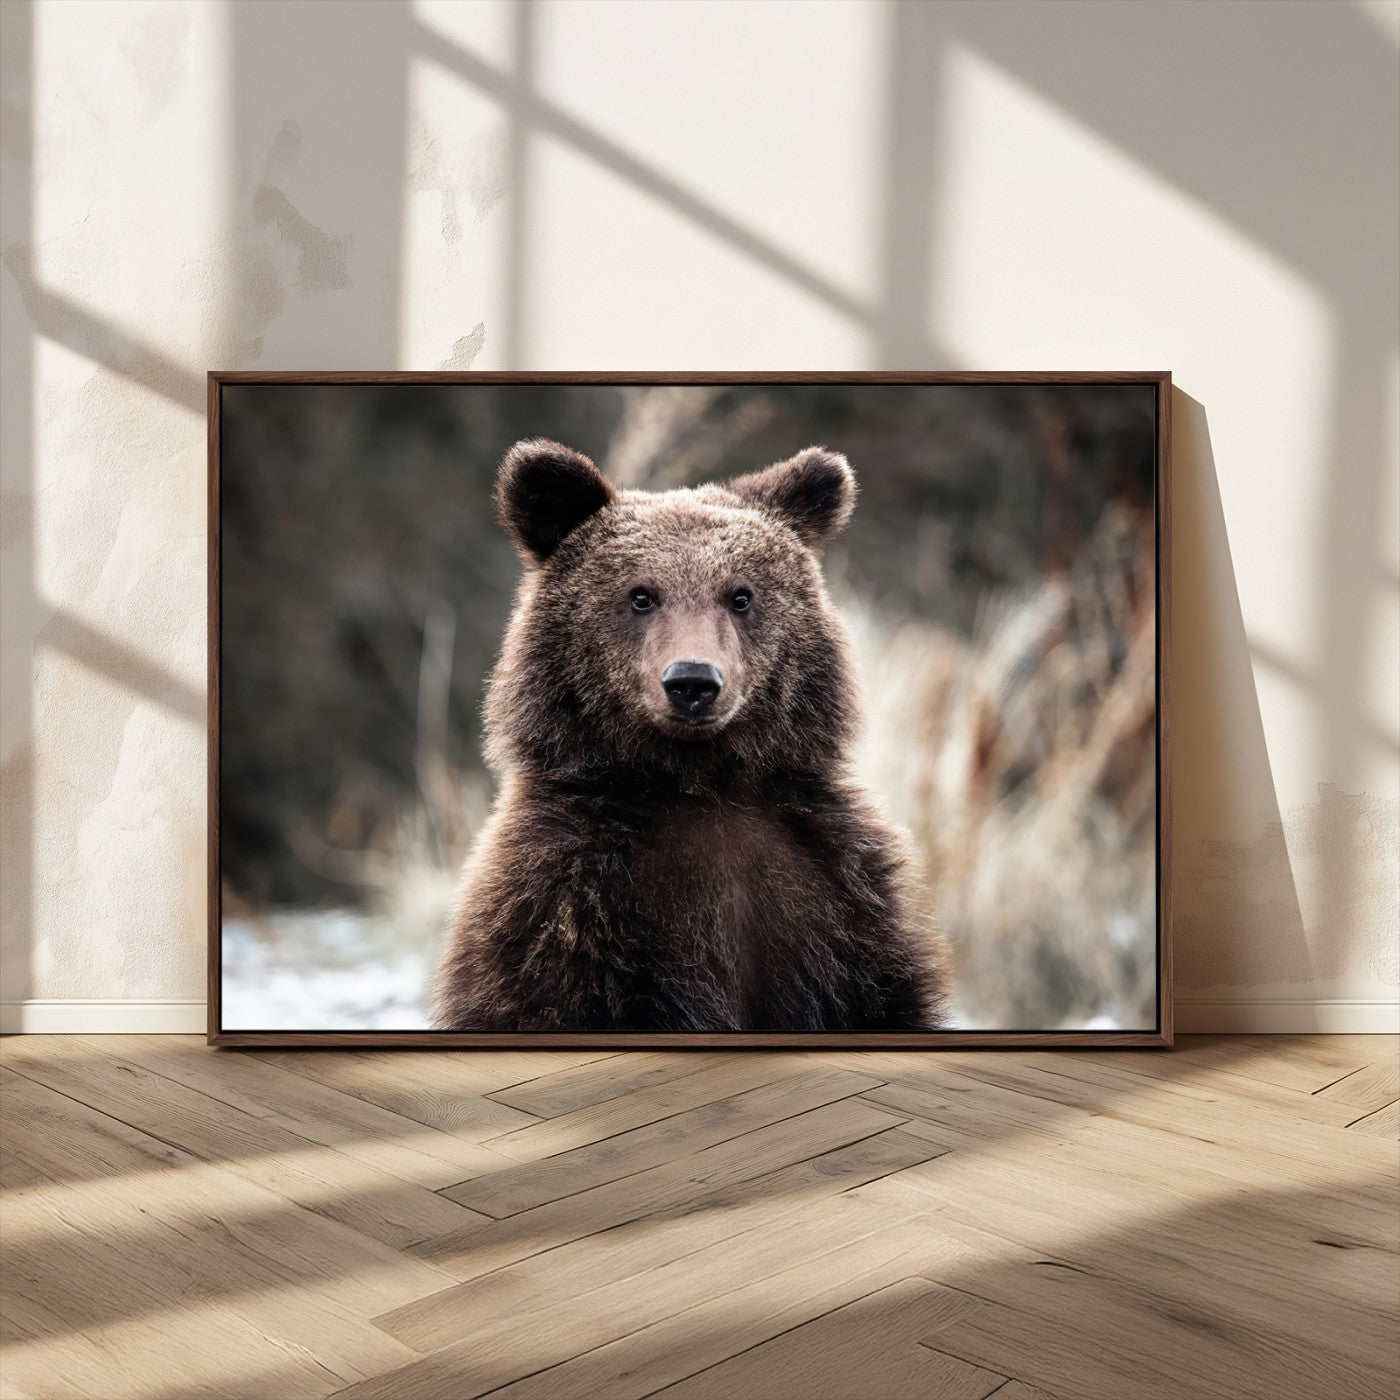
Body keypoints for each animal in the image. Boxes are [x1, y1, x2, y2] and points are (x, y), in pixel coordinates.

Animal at [432, 437, 947, 1032]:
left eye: (741, 596)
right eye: (640, 595)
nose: (693, 682)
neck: (699, 782)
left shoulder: (841, 903)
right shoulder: (565, 909)